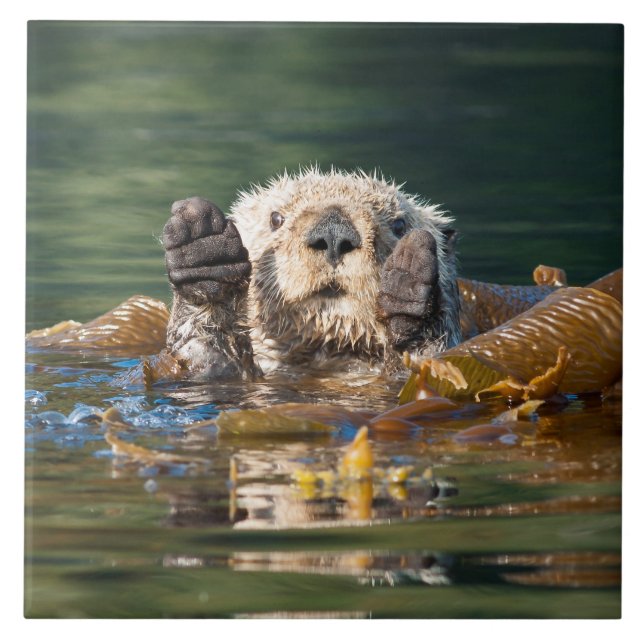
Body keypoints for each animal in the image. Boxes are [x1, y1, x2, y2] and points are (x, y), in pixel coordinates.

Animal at [163, 168, 461, 379]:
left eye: (399, 225)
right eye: (276, 219)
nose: (333, 233)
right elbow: (205, 358)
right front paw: (204, 251)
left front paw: (408, 290)